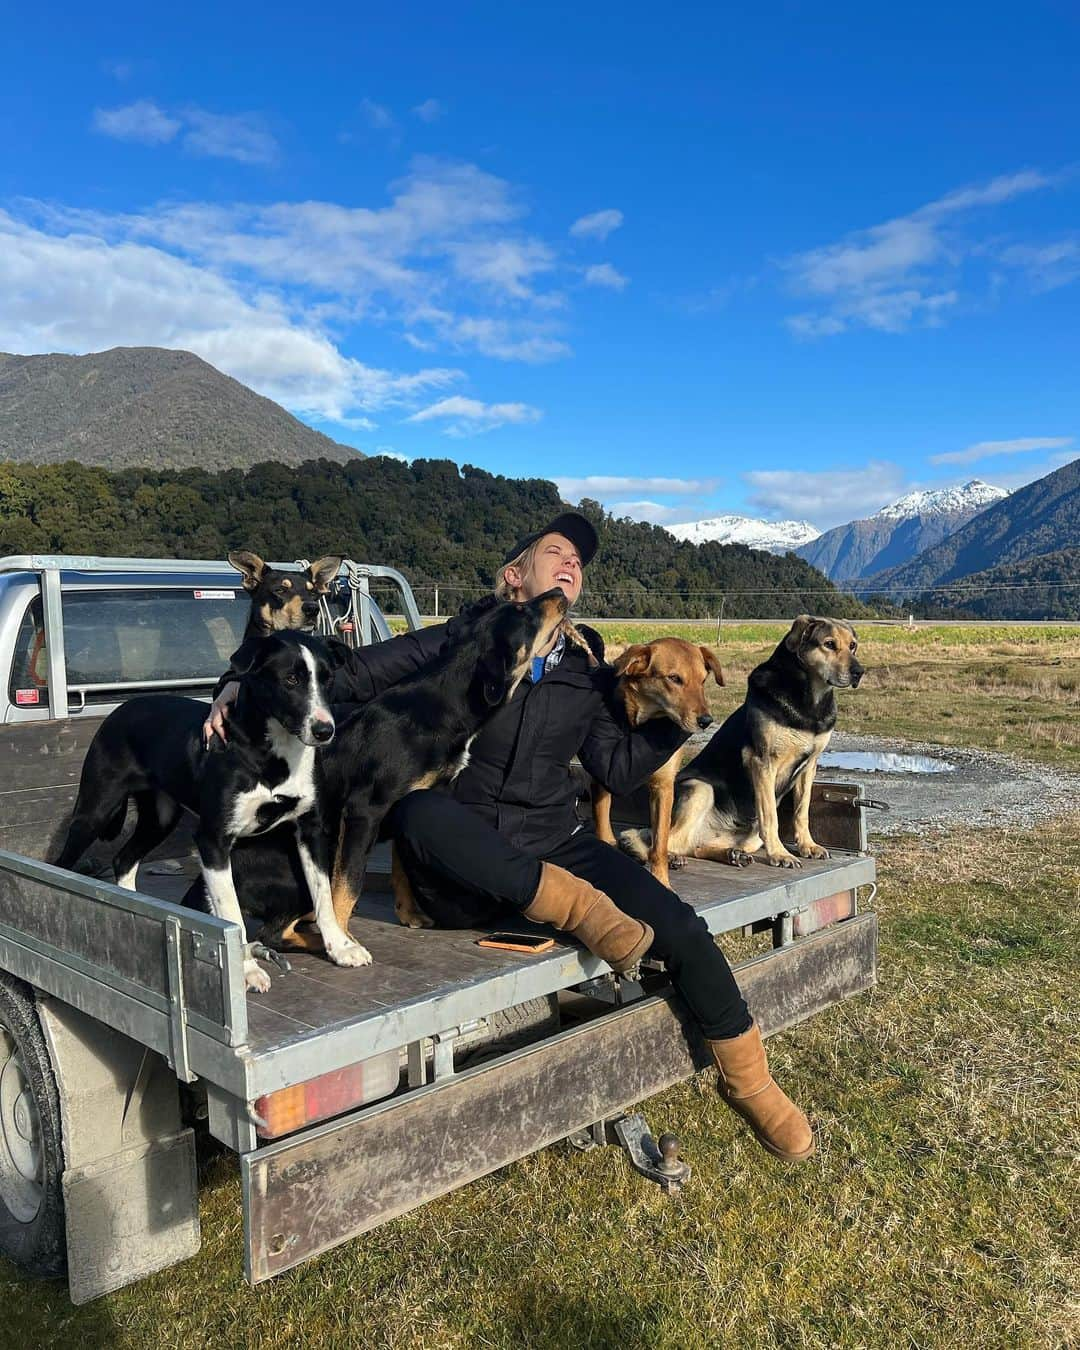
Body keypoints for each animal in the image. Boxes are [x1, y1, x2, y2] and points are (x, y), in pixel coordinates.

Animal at [53, 631, 367, 993]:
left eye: (327, 680)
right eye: (291, 680)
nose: (324, 731)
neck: (271, 752)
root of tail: (126, 706)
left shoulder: (310, 829)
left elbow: (323, 895)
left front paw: (340, 947)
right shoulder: (213, 839)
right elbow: (230, 913)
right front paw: (246, 970)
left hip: (160, 818)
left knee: (124, 859)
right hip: (96, 810)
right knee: (62, 862)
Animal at [591, 639, 723, 891]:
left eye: (703, 680)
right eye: (674, 678)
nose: (706, 721)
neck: (643, 724)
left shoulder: (663, 788)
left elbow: (659, 844)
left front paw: (662, 882)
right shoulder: (604, 777)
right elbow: (602, 824)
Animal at [621, 618, 864, 869]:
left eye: (853, 645)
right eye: (829, 644)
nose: (859, 672)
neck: (810, 702)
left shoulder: (809, 767)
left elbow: (802, 811)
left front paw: (808, 846)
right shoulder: (763, 763)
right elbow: (771, 816)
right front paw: (780, 854)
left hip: (747, 837)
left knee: (692, 845)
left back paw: (732, 854)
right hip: (700, 788)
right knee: (663, 842)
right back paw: (671, 857)